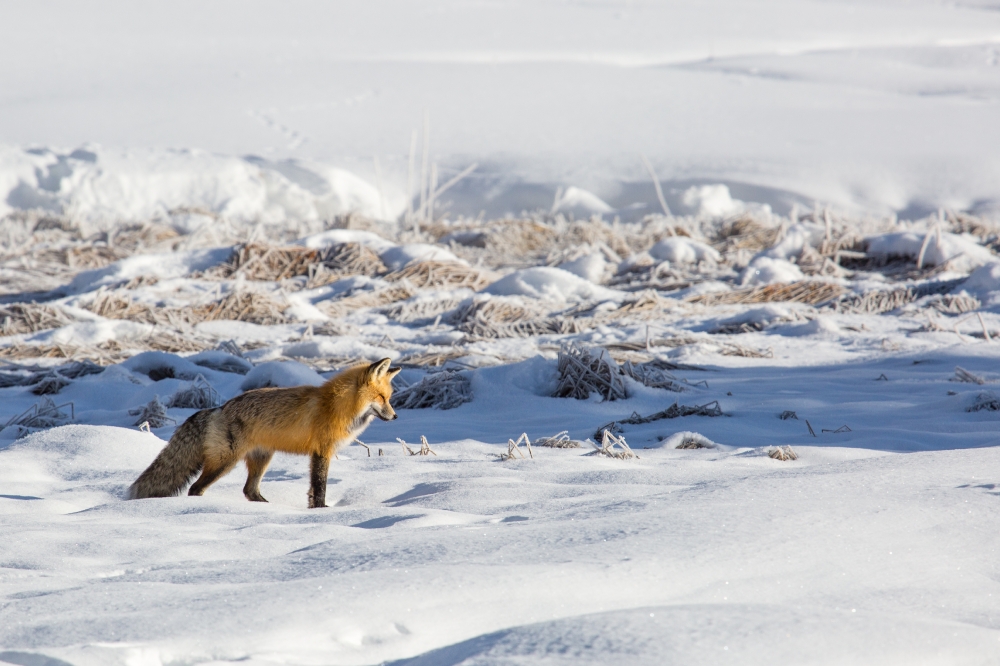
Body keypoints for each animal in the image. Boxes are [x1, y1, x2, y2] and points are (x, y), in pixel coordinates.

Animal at [129, 358, 402, 504]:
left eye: (389, 398)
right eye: (382, 398)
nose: (395, 416)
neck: (337, 406)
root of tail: (219, 408)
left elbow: (313, 489)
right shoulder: (321, 451)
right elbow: (320, 487)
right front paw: (321, 511)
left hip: (261, 459)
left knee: (249, 490)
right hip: (225, 462)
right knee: (196, 488)